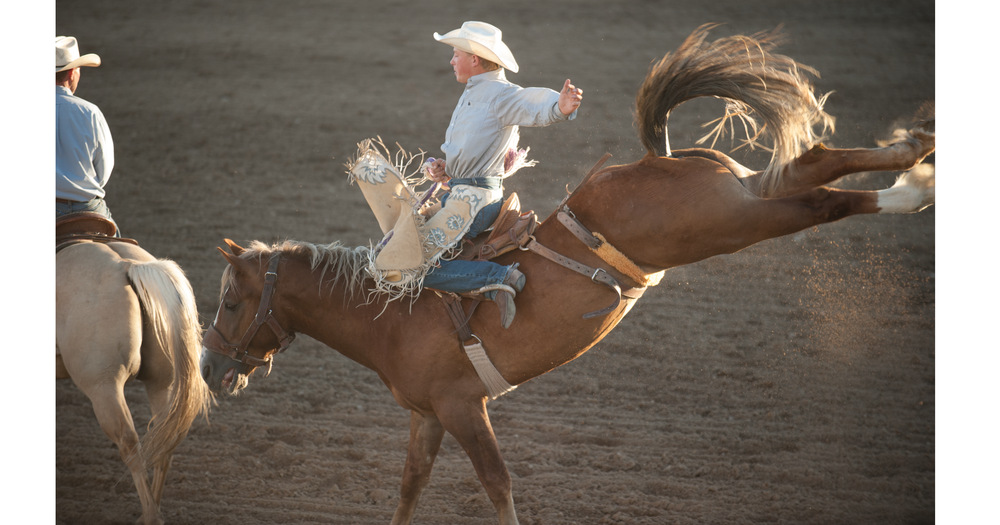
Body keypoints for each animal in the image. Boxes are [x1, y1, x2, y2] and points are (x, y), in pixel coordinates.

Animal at [56, 238, 211, 524]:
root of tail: (126, 265)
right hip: (162, 383)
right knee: (164, 441)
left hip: (104, 389)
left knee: (130, 444)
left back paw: (150, 515)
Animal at [199, 25, 932, 524]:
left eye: (231, 301)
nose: (210, 368)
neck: (391, 310)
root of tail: (656, 160)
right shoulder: (428, 415)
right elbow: (410, 486)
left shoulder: (464, 407)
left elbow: (497, 483)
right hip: (735, 203)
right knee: (812, 174)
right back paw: (913, 161)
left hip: (724, 221)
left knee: (819, 185)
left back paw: (911, 175)